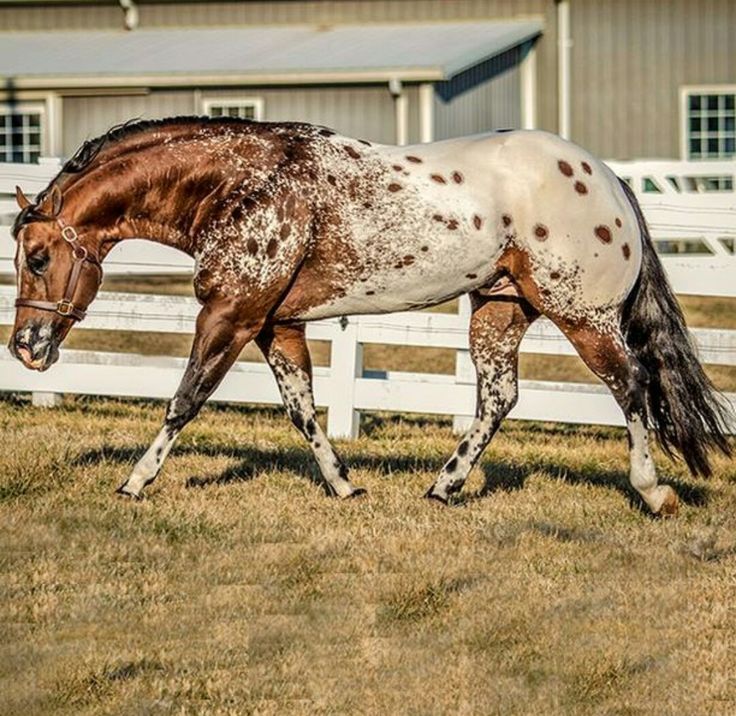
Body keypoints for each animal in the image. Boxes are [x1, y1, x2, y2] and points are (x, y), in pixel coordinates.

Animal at [7, 119, 732, 516]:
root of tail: (608, 178)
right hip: (500, 309)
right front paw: (344, 486)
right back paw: (444, 487)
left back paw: (653, 492)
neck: (239, 185)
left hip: (583, 314)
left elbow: (185, 399)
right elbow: (302, 409)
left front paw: (134, 482)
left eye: (38, 256)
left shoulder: (231, 315)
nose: (26, 347)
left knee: (631, 385)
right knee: (500, 397)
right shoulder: (276, 325)